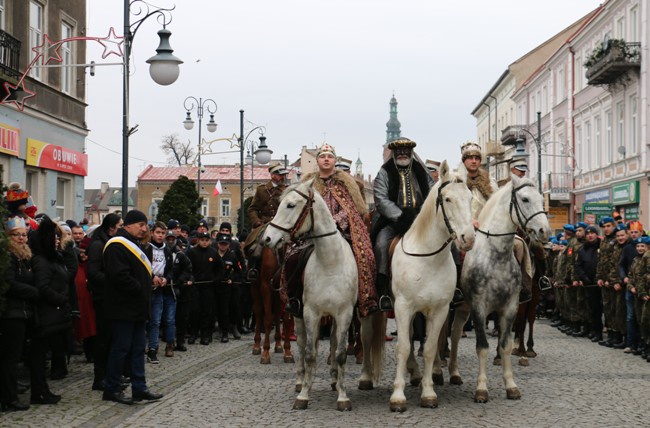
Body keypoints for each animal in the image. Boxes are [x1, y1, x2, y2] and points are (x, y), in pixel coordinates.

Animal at [260, 178, 356, 412]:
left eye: (290, 205)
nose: (267, 238)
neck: (330, 263)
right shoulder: (310, 313)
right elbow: (310, 354)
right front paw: (303, 394)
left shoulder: (344, 314)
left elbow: (340, 354)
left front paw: (343, 396)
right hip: (298, 316)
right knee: (303, 347)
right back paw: (301, 380)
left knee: (332, 344)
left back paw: (333, 380)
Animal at [388, 160, 474, 412]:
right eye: (447, 199)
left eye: (470, 198)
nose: (468, 238)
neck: (428, 259)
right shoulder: (403, 307)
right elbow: (403, 347)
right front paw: (398, 396)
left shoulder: (439, 310)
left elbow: (429, 347)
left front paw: (428, 392)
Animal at [448, 174, 548, 402]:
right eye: (525, 199)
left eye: (541, 199)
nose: (544, 231)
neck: (495, 255)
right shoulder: (479, 308)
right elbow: (482, 347)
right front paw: (481, 389)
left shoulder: (510, 307)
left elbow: (506, 345)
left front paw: (511, 385)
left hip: (463, 308)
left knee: (456, 334)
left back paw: (454, 373)